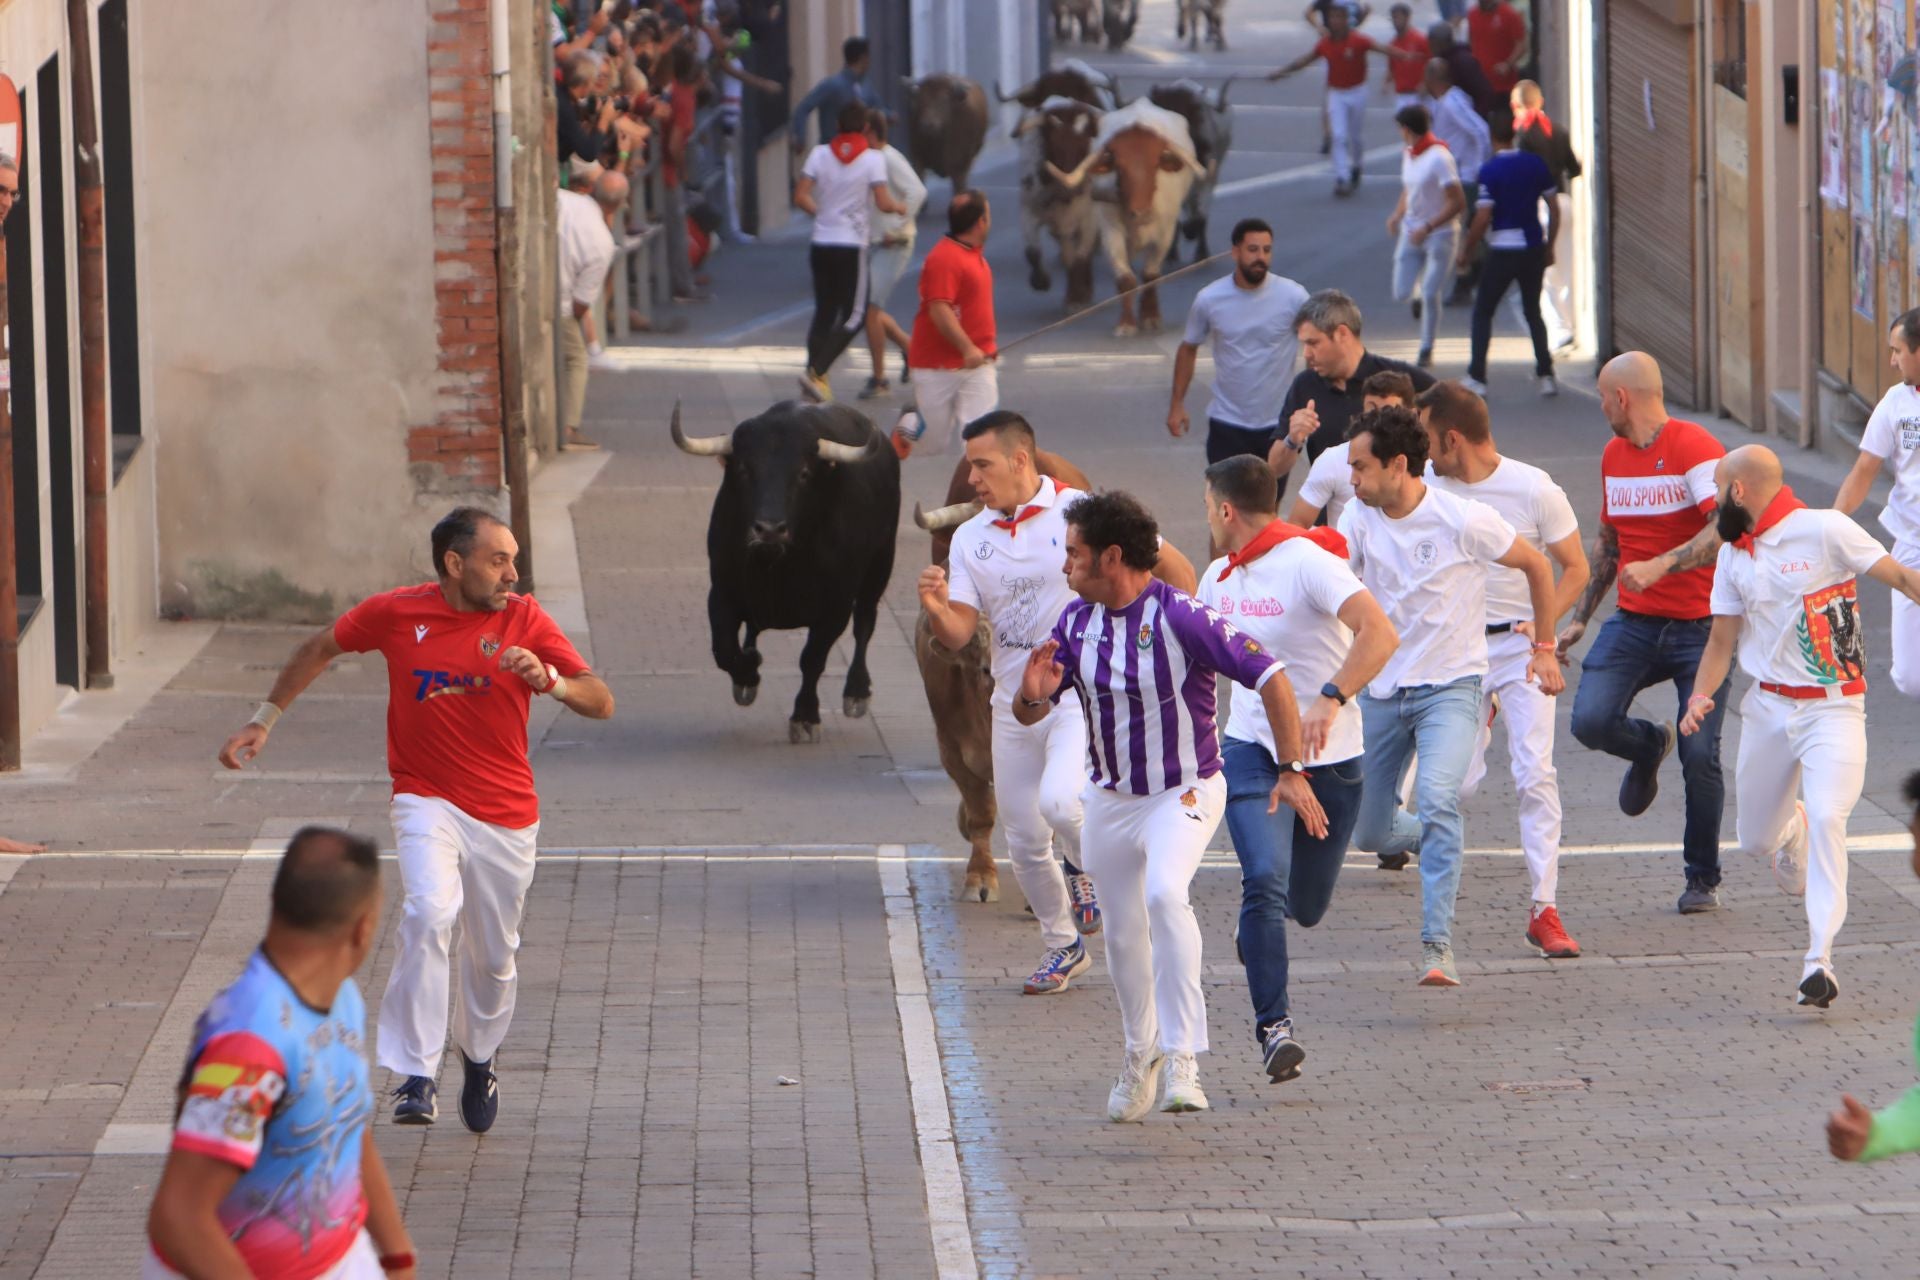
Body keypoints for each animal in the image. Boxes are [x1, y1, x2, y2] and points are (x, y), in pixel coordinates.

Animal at [675, 401, 898, 740]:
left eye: (803, 473)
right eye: (744, 469)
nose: (769, 530)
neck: (778, 567)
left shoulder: (834, 610)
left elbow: (812, 660)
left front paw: (805, 717)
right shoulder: (722, 593)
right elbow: (724, 650)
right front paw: (748, 674)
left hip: (879, 567)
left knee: (865, 623)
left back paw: (857, 691)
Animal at [1052, 100, 1198, 337]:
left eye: (1155, 164)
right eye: (1119, 168)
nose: (1141, 213)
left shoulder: (1165, 234)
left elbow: (1150, 274)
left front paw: (1150, 318)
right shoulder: (1111, 233)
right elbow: (1126, 278)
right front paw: (1127, 323)